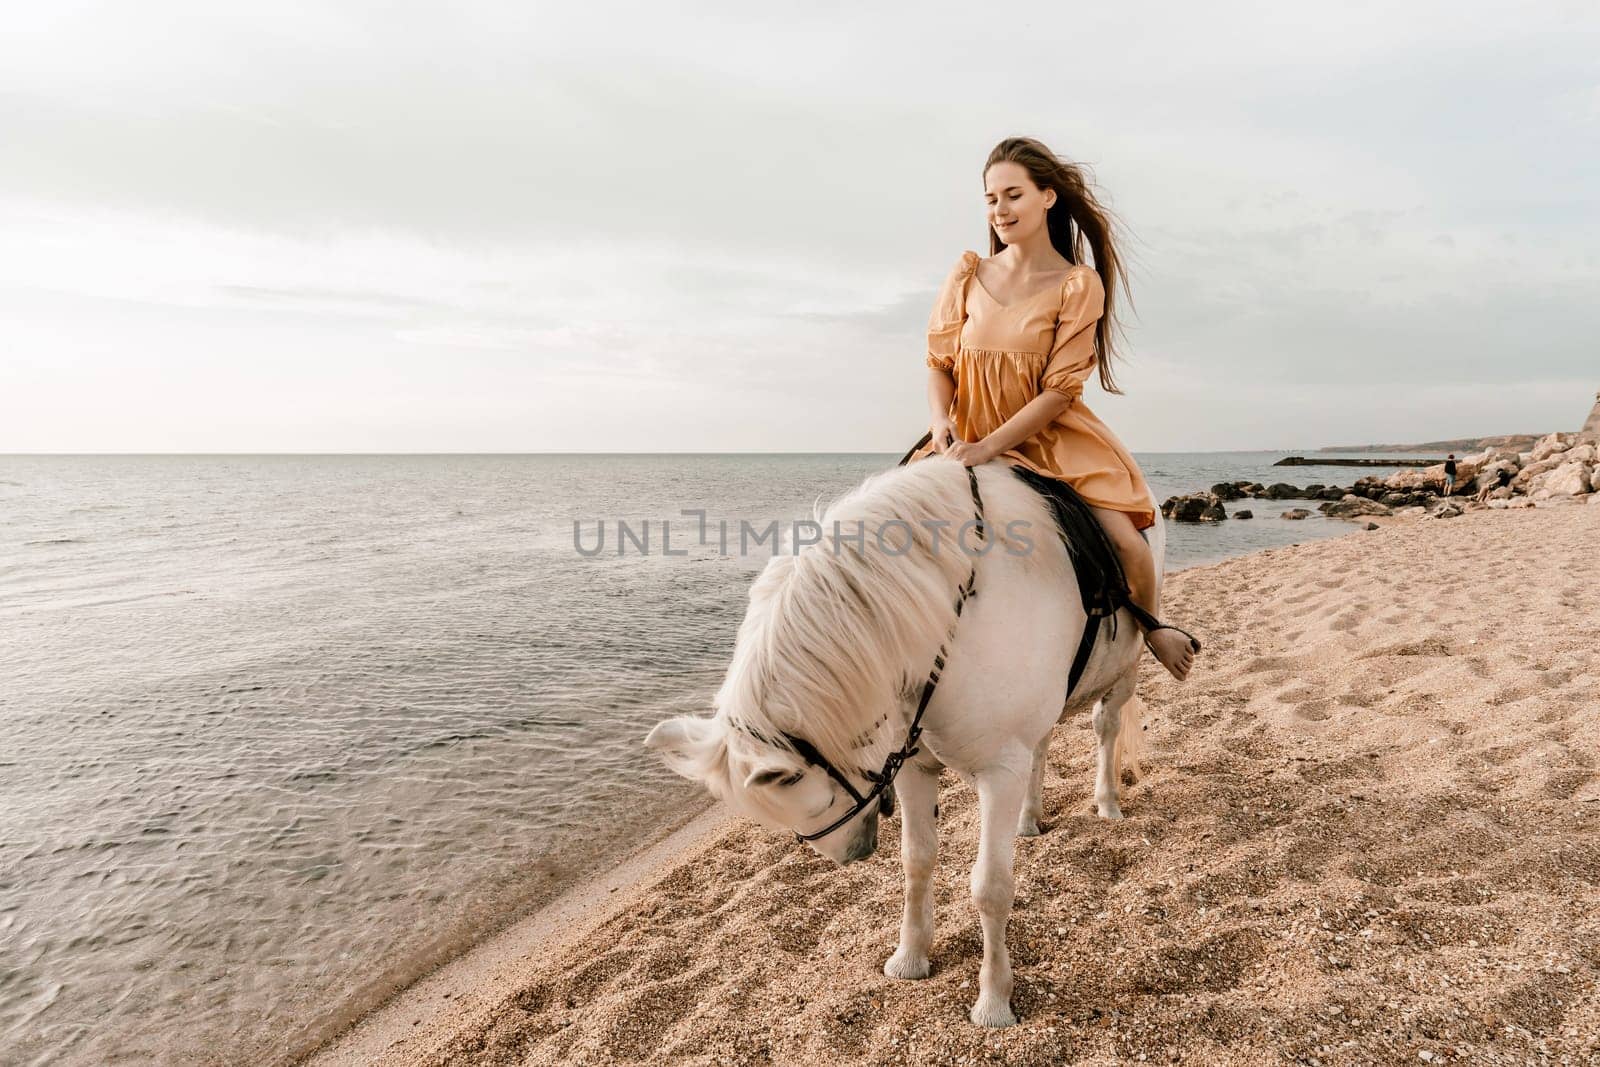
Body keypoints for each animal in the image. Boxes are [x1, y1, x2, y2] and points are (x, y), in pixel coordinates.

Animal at [643, 454, 1158, 1030]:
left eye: (813, 804)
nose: (849, 855)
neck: (949, 619)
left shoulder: (999, 772)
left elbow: (991, 888)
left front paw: (994, 999)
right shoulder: (913, 767)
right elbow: (916, 861)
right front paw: (910, 956)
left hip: (1124, 671)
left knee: (1106, 728)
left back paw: (1107, 802)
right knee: (1043, 744)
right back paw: (1029, 818)